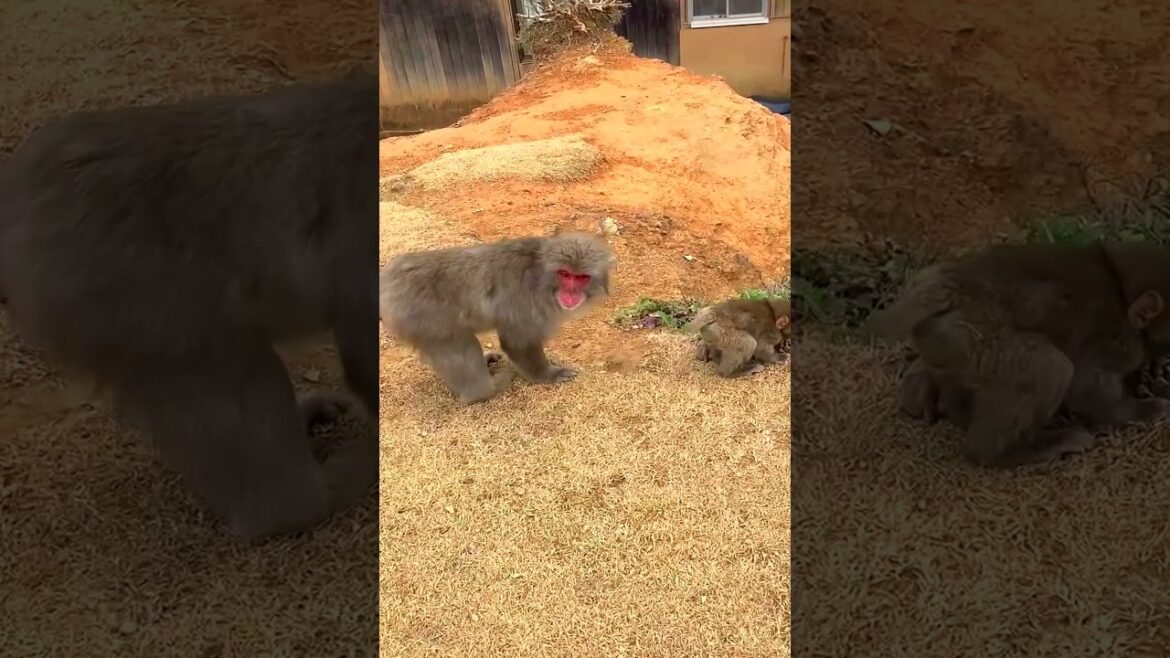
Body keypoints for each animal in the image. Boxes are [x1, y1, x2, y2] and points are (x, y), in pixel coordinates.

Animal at [379, 232, 617, 404]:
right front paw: (548, 374)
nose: (570, 294)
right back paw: (484, 391)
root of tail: (388, 282)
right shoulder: (524, 300)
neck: (543, 279)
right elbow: (518, 343)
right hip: (425, 319)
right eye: (565, 274)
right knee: (458, 343)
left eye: (581, 277)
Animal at [868, 241, 1170, 467]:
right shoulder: (1110, 339)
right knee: (1049, 368)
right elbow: (1087, 389)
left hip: (946, 341)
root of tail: (951, 283)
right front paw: (1143, 409)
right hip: (976, 337)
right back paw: (1015, 450)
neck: (1120, 288)